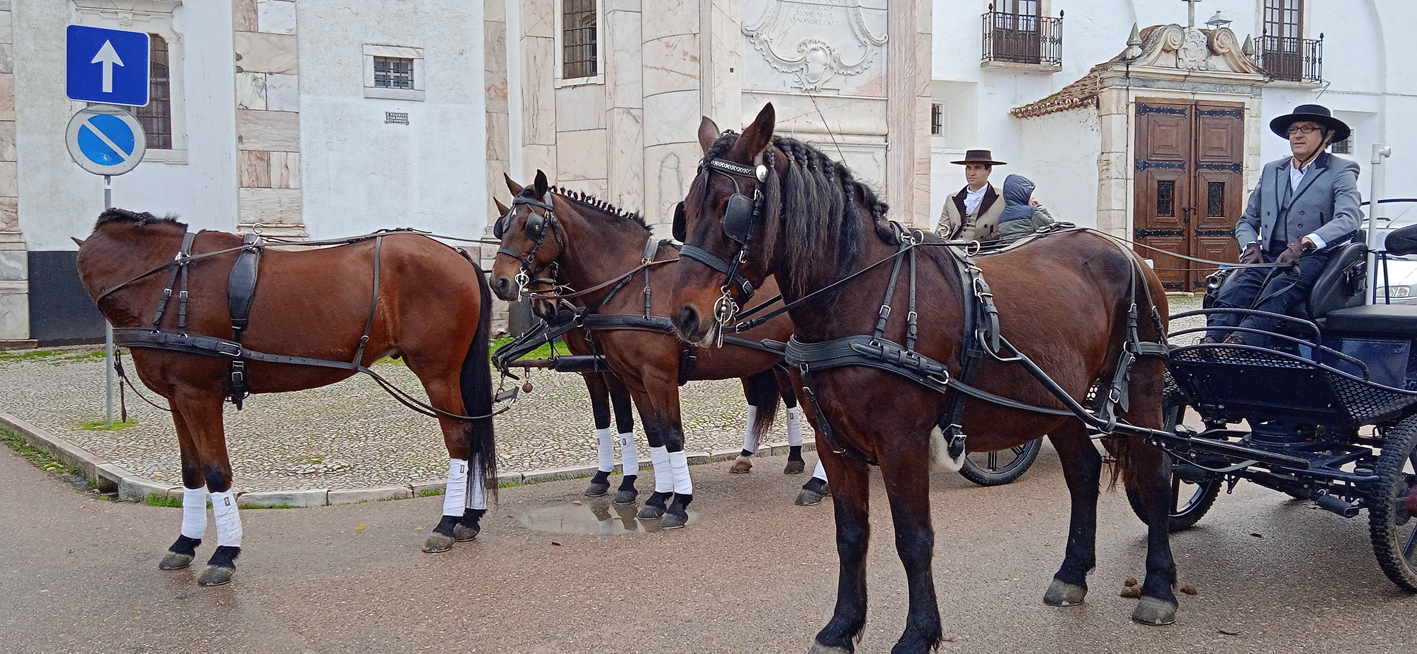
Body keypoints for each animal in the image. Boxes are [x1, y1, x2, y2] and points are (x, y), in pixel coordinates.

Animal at [78, 210, 498, 588]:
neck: (167, 280)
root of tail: (456, 254)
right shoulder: (177, 399)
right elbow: (191, 471)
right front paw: (185, 543)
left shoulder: (199, 397)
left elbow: (216, 472)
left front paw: (223, 554)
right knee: (474, 437)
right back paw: (467, 518)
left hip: (437, 373)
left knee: (461, 439)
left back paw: (446, 523)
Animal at [493, 171, 821, 529]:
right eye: (501, 227)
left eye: (531, 225)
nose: (499, 282)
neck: (632, 285)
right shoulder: (625, 376)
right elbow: (649, 433)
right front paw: (655, 495)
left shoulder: (656, 376)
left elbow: (670, 434)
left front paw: (676, 501)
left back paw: (815, 480)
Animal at [668, 104, 1178, 651]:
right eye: (686, 211)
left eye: (731, 209)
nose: (684, 316)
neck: (860, 294)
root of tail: (1127, 252)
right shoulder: (834, 441)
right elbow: (851, 536)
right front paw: (842, 625)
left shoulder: (902, 441)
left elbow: (913, 538)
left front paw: (918, 633)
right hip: (1057, 402)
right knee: (1082, 472)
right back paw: (1072, 574)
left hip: (1142, 389)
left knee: (1155, 476)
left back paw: (1158, 587)